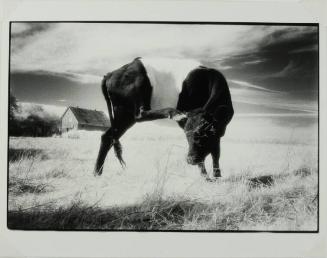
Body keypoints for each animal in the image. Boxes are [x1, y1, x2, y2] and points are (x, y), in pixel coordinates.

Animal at [93, 57, 234, 180]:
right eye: (187, 135)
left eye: (204, 133)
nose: (190, 160)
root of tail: (111, 73)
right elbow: (209, 153)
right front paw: (206, 177)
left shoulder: (219, 131)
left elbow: (216, 152)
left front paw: (217, 175)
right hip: (134, 96)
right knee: (140, 114)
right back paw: (174, 112)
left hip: (124, 116)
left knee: (108, 137)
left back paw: (97, 173)